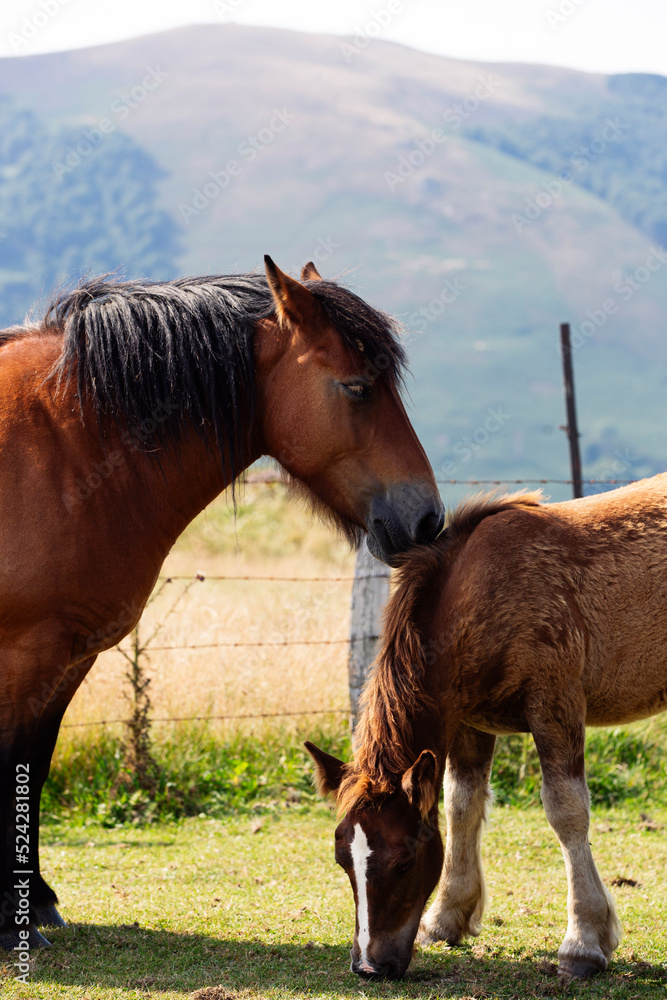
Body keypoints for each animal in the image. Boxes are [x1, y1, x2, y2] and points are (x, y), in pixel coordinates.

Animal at [0, 256, 446, 944]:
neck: (64, 447)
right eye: (356, 389)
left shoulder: (66, 657)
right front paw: (6, 922)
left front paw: (38, 901)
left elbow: (32, 766)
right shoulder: (25, 654)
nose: (427, 521)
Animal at [310, 480, 667, 980]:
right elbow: (461, 804)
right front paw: (447, 918)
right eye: (342, 859)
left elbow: (567, 811)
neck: (485, 592)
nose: (369, 966)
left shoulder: (555, 702)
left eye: (404, 862)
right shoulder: (467, 722)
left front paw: (584, 942)